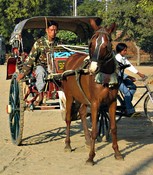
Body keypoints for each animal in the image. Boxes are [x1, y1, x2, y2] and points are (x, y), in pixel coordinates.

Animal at [61, 19, 122, 165]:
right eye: (91, 44)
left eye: (106, 45)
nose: (93, 68)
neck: (105, 76)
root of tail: (72, 56)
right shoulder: (95, 103)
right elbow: (94, 130)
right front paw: (91, 157)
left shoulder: (112, 102)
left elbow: (113, 128)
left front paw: (117, 152)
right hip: (69, 95)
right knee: (68, 119)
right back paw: (68, 144)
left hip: (82, 97)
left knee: (82, 113)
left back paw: (88, 141)